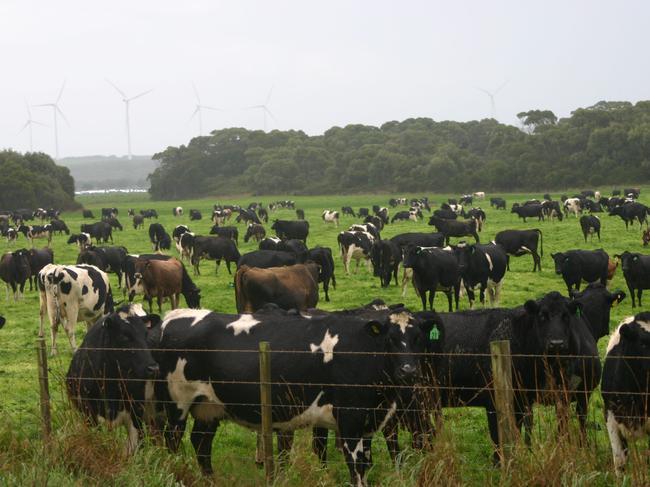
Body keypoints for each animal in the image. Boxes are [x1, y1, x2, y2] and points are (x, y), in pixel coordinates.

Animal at [147, 306, 430, 482]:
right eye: (390, 339)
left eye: (418, 338)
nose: (409, 371)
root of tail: (174, 316)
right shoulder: (350, 420)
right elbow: (357, 467)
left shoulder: (369, 421)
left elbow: (366, 464)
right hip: (177, 404)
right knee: (173, 441)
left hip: (209, 406)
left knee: (201, 444)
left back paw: (210, 480)